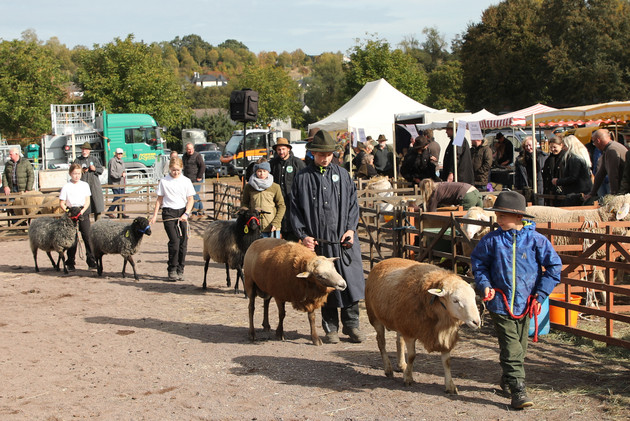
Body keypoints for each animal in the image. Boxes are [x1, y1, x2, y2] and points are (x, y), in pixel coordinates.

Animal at [368, 256, 482, 394]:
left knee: (399, 341)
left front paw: (450, 385)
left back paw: (401, 365)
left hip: (400, 321)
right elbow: (412, 356)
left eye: (474, 298)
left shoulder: (443, 334)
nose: (476, 322)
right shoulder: (410, 331)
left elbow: (447, 361)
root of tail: (384, 260)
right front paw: (408, 378)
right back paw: (388, 369)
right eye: (455, 300)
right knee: (381, 343)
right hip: (375, 317)